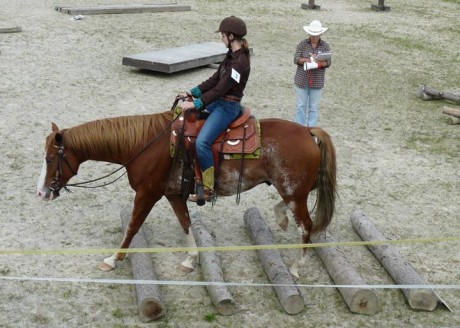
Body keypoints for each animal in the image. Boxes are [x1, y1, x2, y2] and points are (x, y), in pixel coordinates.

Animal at [36, 109, 338, 276]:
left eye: (50, 159)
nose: (41, 192)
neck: (144, 144)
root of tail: (308, 131)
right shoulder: (172, 194)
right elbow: (186, 223)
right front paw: (190, 260)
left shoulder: (147, 194)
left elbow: (133, 226)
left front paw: (112, 259)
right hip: (292, 190)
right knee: (292, 213)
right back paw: (281, 219)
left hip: (293, 192)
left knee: (307, 225)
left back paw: (297, 266)